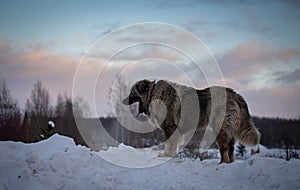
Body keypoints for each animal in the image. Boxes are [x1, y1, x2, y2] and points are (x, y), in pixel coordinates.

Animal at [122, 79, 260, 163]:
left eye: (132, 93)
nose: (122, 101)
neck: (154, 95)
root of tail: (234, 93)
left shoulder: (170, 127)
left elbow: (170, 143)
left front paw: (167, 154)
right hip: (229, 130)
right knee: (230, 148)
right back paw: (229, 163)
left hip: (220, 128)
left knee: (224, 148)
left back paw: (222, 163)